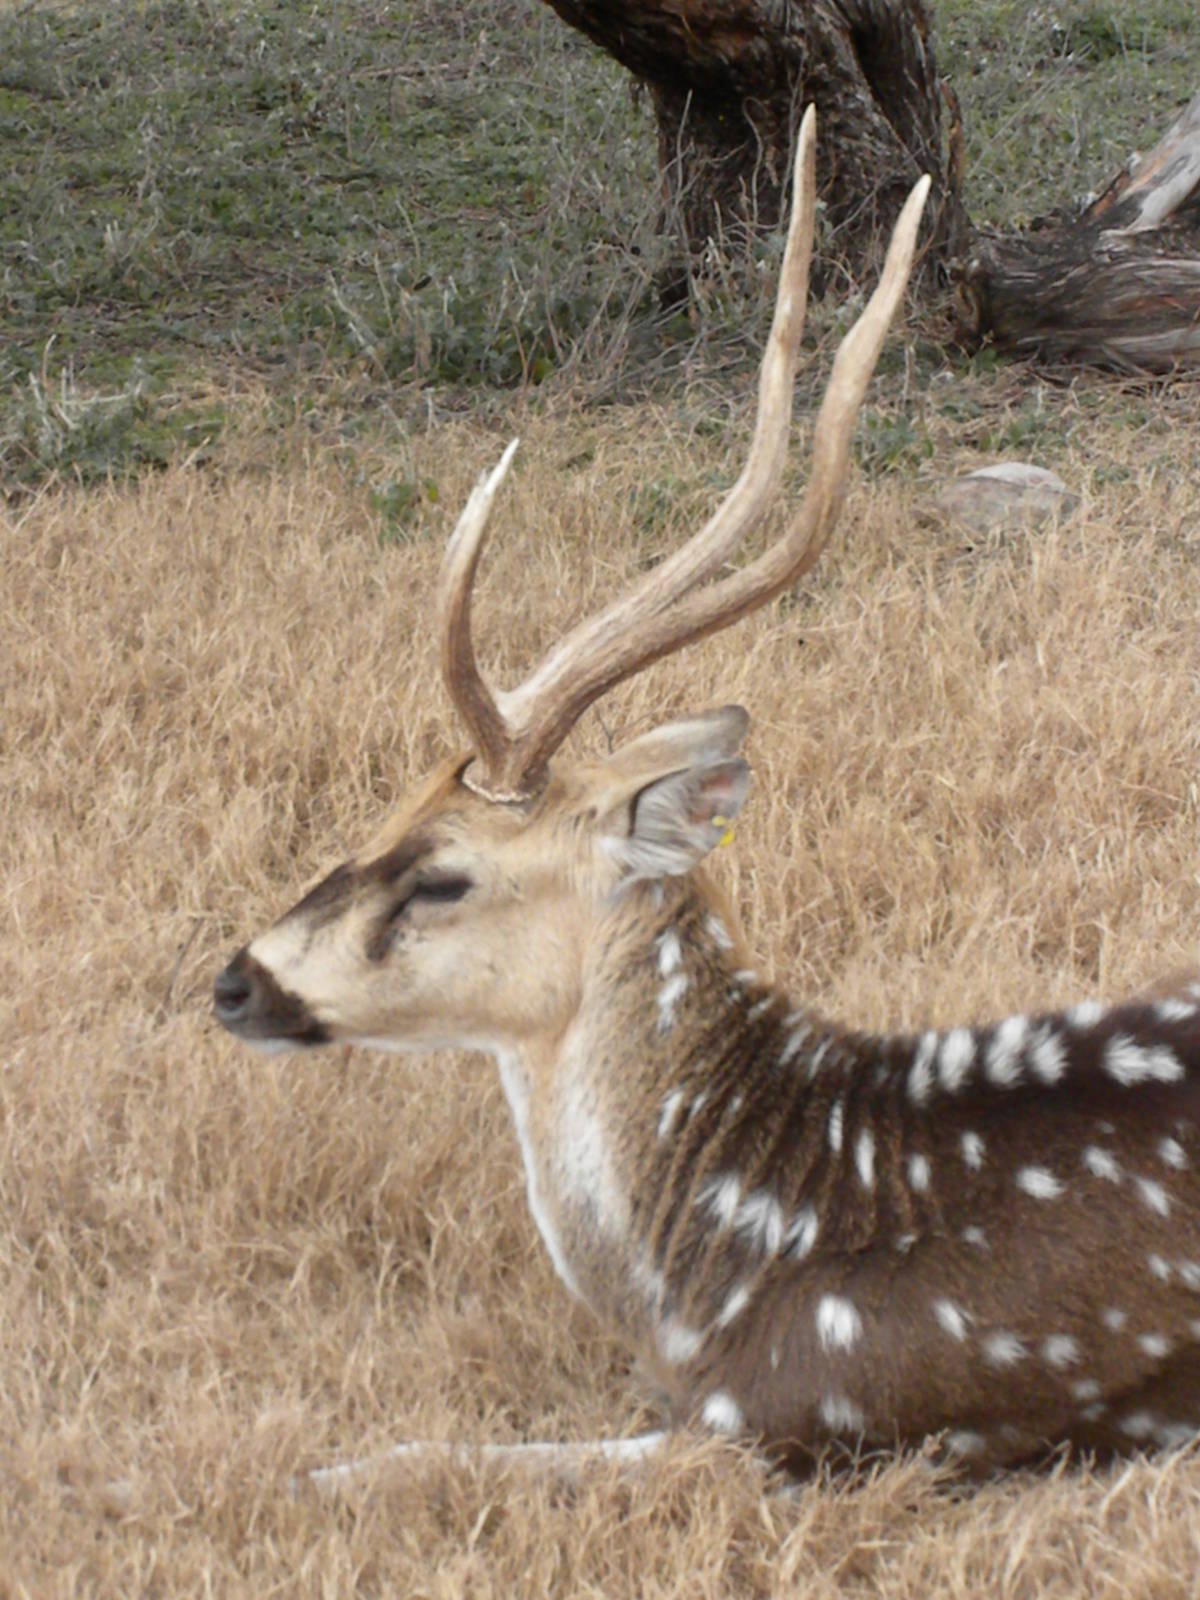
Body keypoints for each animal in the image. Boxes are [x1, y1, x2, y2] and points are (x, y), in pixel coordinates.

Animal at [213, 110, 1200, 1490]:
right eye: (378, 817)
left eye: (443, 871)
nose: (234, 981)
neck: (712, 1275)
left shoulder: (795, 1421)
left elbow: (417, 1458)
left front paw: (277, 1475)